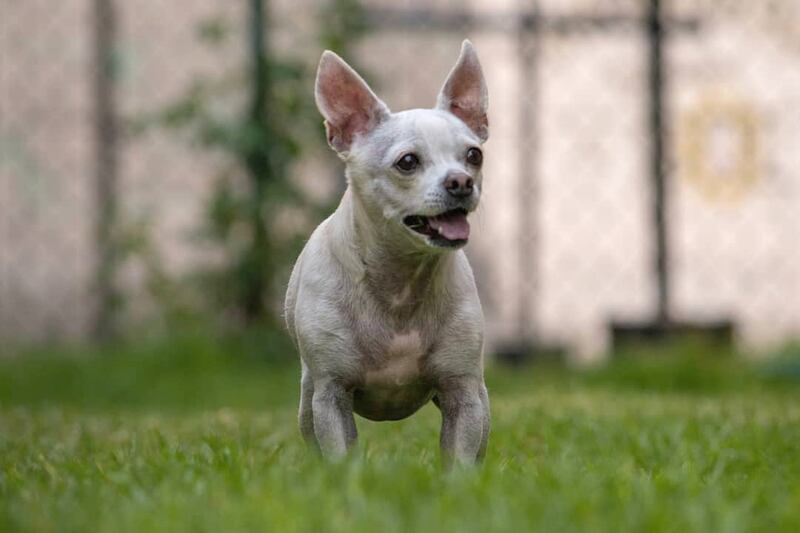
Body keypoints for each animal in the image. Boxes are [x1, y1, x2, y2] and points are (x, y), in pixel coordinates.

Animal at [284, 40, 490, 466]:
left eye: (473, 156)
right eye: (407, 162)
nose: (461, 181)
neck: (401, 279)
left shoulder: (463, 394)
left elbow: (459, 460)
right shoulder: (330, 397)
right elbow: (340, 456)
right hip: (308, 404)